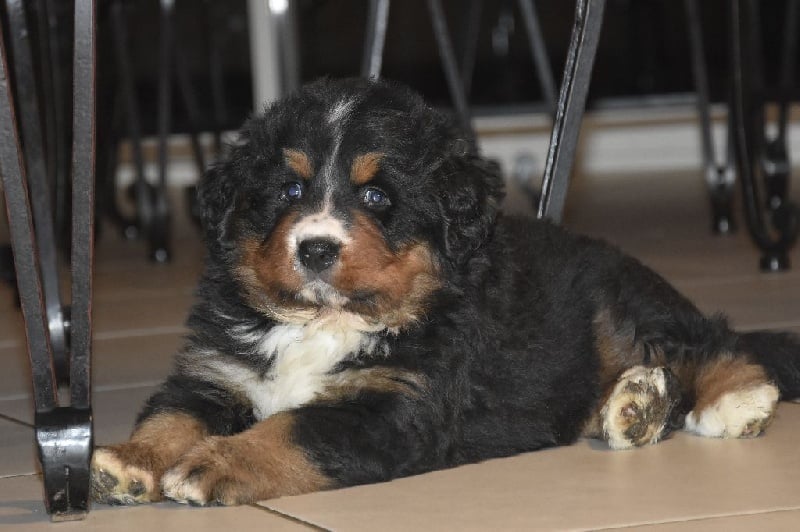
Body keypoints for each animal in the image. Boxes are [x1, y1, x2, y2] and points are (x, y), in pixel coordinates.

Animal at [90, 77, 800, 504]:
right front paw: (129, 459)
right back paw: (635, 406)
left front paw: (217, 463)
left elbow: (291, 429)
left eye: (377, 197)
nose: (314, 248)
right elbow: (173, 413)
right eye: (289, 189)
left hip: (625, 306)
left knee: (712, 340)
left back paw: (732, 399)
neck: (324, 323)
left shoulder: (394, 406)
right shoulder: (216, 371)